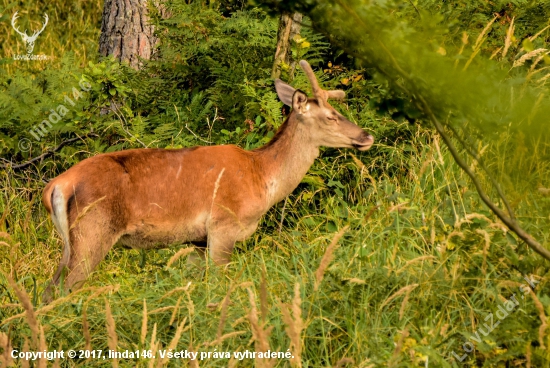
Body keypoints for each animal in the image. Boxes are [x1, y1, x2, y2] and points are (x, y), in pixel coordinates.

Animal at [41, 60, 374, 302]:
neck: (261, 177)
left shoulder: (198, 240)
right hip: (93, 231)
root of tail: (56, 186)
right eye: (330, 116)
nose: (366, 136)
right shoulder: (222, 226)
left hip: (71, 242)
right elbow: (221, 284)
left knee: (47, 289)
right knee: (61, 291)